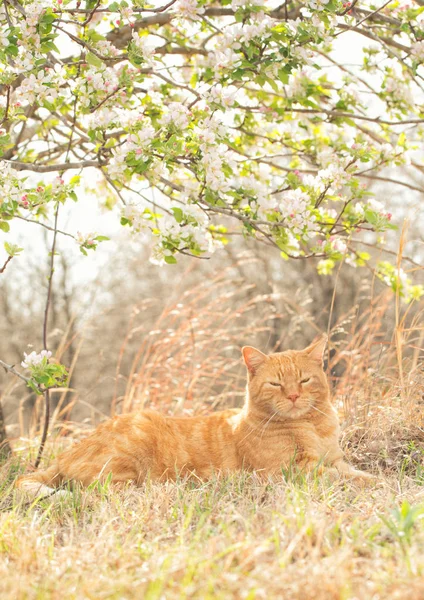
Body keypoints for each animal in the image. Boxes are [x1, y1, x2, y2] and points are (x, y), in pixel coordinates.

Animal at [16, 336, 374, 494]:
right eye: (275, 383)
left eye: (304, 380)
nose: (294, 396)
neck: (313, 425)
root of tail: (65, 455)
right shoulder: (291, 471)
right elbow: (345, 478)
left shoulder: (334, 460)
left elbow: (351, 472)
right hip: (129, 454)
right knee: (105, 492)